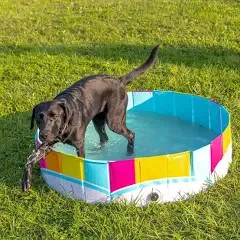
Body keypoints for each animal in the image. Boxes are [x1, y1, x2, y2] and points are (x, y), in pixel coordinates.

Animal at [30, 45, 159, 158]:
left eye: (55, 116)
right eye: (38, 117)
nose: (43, 135)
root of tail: (119, 80)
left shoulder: (79, 144)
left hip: (114, 121)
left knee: (131, 134)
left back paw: (129, 153)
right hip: (98, 120)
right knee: (104, 138)